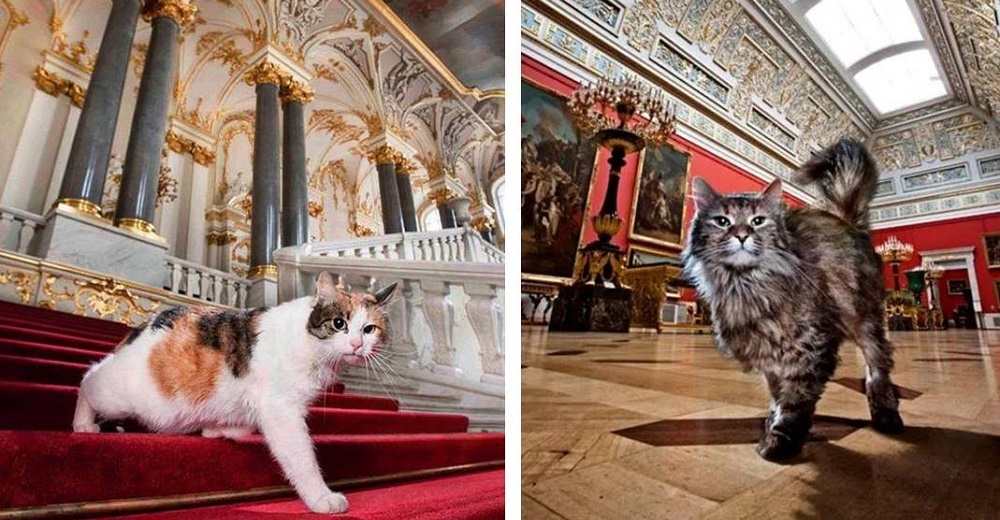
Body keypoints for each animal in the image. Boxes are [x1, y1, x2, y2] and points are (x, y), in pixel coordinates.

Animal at [71, 274, 394, 512]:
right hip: (124, 394)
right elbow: (302, 457)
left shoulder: (261, 406)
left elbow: (241, 424)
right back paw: (84, 423)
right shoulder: (281, 409)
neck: (310, 344)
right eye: (339, 323)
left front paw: (216, 429)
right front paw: (321, 497)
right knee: (88, 378)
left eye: (369, 329)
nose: (356, 345)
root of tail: (140, 329)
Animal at [680, 138, 908, 460]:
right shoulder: (769, 356)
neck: (746, 285)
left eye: (758, 221)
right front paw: (772, 424)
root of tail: (846, 221)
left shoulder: (811, 349)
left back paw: (886, 415)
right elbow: (778, 396)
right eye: (722, 221)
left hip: (866, 321)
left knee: (878, 367)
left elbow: (795, 400)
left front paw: (781, 441)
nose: (741, 235)